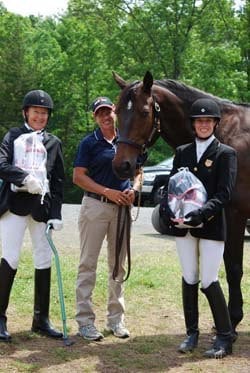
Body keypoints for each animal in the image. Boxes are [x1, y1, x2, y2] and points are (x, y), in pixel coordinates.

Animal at [112, 70, 250, 332]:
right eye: (117, 111)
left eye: (144, 112)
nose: (122, 165)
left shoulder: (235, 214)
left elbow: (233, 267)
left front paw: (234, 318)